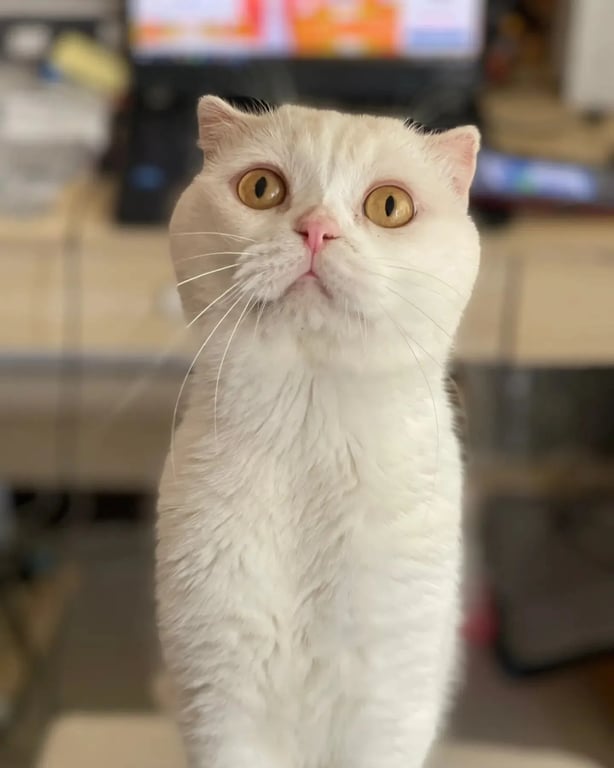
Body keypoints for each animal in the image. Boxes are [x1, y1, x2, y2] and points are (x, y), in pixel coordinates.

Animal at [157, 95, 480, 768]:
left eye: (390, 205)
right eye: (261, 188)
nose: (316, 229)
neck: (309, 437)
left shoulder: (391, 700)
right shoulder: (218, 700)